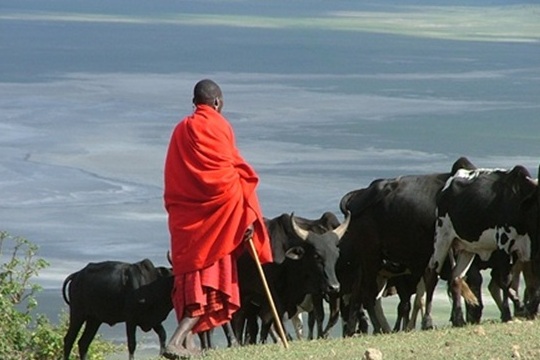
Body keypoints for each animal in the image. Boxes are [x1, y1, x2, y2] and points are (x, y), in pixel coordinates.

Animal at [233, 211, 350, 344]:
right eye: (316, 255)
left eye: (336, 255)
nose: (334, 286)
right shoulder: (274, 297)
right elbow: (278, 322)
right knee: (239, 321)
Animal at [340, 158, 474, 334]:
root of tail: (358, 196)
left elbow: (455, 279)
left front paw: (457, 318)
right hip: (370, 256)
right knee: (367, 294)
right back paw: (378, 328)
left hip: (367, 262)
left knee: (359, 294)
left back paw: (355, 329)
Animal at [424, 165, 540, 328]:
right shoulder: (504, 244)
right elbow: (505, 281)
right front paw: (508, 314)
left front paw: (529, 310)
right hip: (442, 237)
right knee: (431, 274)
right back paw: (427, 321)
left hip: (466, 248)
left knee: (456, 277)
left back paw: (458, 319)